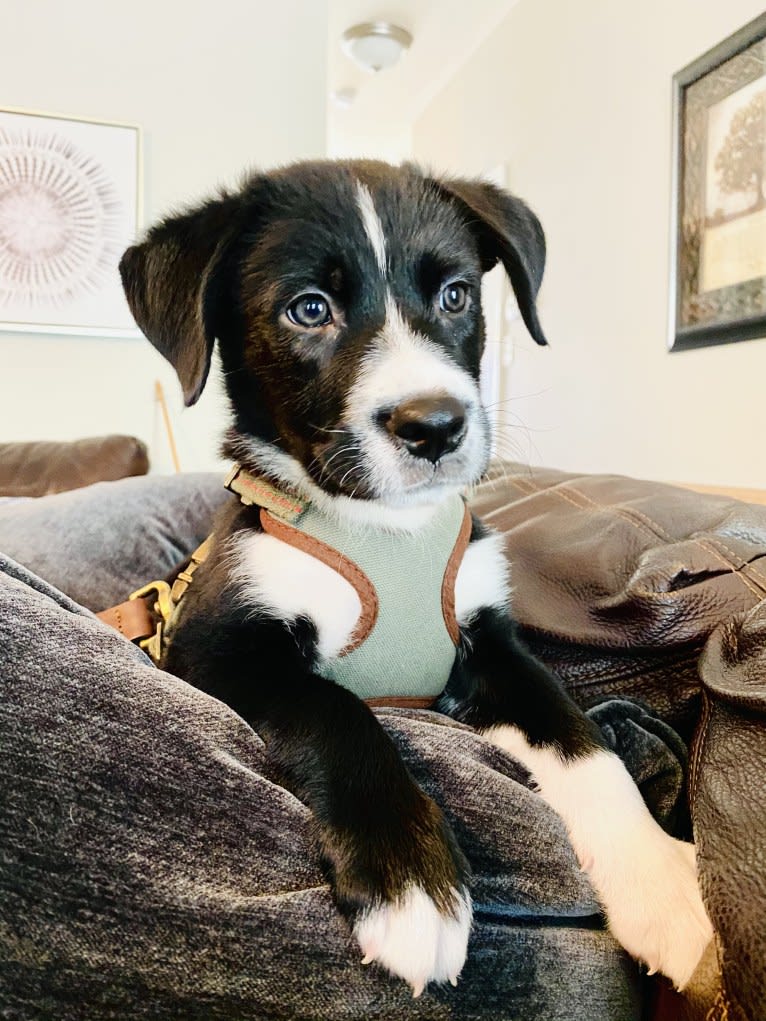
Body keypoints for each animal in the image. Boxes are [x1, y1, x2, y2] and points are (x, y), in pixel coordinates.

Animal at [120, 159, 714, 996]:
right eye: (310, 309)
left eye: (456, 294)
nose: (434, 426)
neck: (385, 529)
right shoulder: (214, 647)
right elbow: (334, 707)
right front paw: (411, 878)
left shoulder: (492, 644)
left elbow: (585, 744)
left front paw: (660, 883)